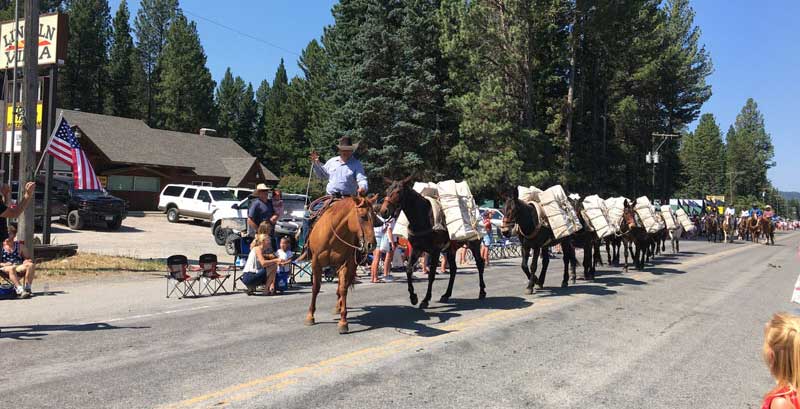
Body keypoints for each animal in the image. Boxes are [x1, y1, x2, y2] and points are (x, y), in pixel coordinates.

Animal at [308, 196, 380, 334]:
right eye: (363, 216)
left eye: (374, 217)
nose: (372, 245)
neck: (332, 235)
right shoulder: (315, 262)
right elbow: (315, 288)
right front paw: (310, 316)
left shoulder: (346, 263)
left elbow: (343, 289)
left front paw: (343, 322)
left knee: (342, 286)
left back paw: (338, 307)